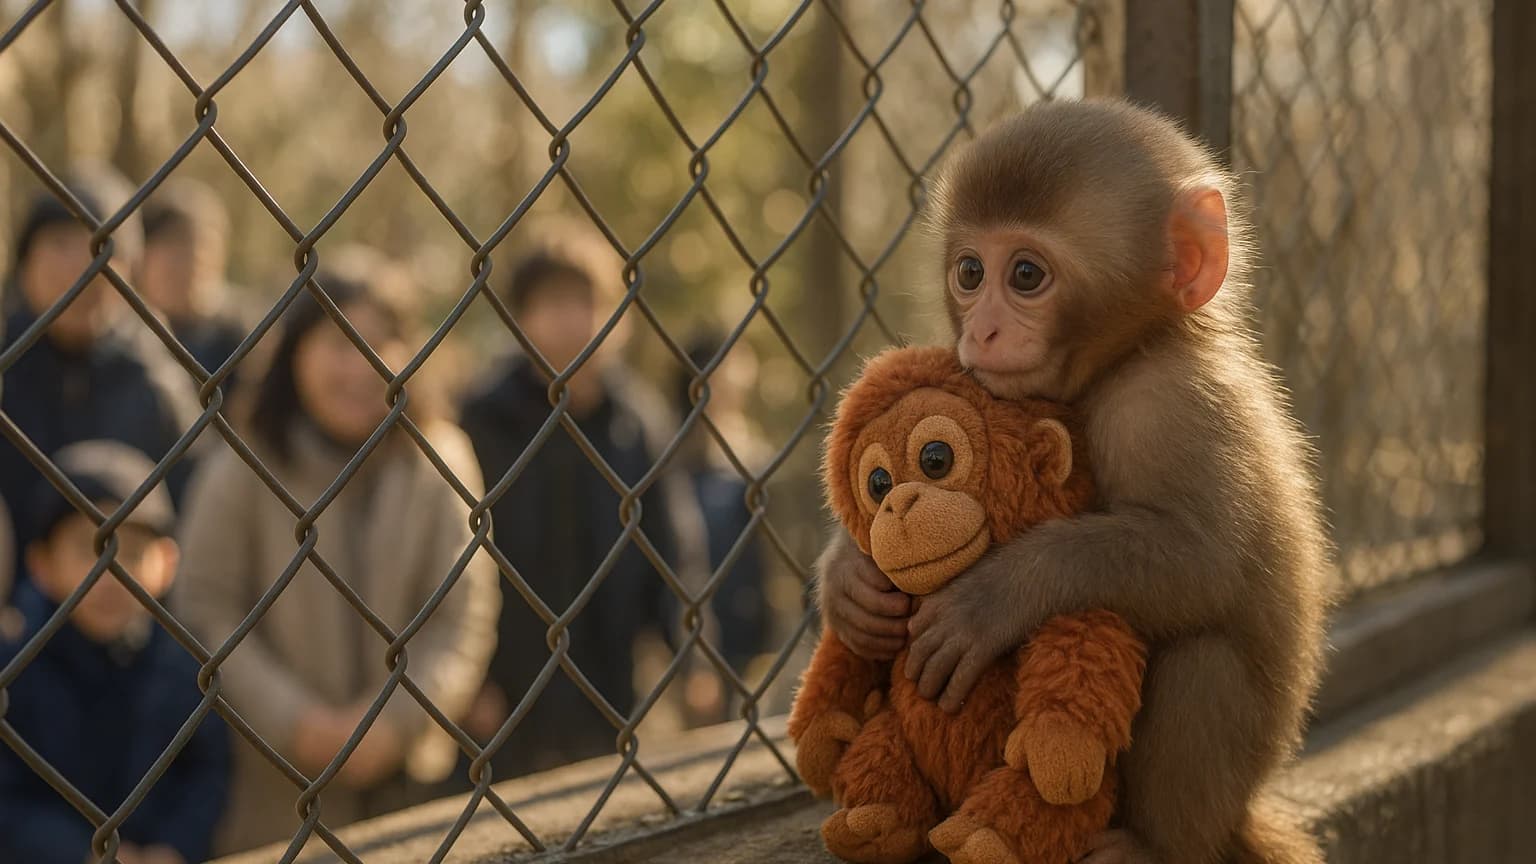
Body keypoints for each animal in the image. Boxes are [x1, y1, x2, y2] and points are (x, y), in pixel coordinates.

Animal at [814, 99, 1331, 864]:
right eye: (971, 271)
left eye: (1026, 275)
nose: (982, 331)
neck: (1129, 354)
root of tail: (1241, 817)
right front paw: (848, 576)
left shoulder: (1167, 405)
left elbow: (1203, 563)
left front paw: (993, 598)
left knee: (1201, 658)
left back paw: (1151, 848)